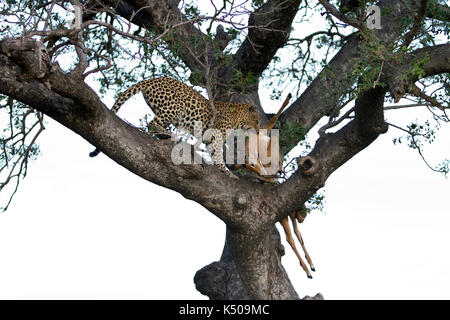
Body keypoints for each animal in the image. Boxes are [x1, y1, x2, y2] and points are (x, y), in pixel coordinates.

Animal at [89, 76, 260, 179]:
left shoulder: (211, 138)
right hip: (174, 107)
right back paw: (169, 135)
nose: (258, 131)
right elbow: (218, 154)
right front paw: (226, 171)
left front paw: (224, 171)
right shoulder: (216, 134)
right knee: (152, 123)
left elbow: (214, 152)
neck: (238, 118)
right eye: (257, 121)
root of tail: (152, 79)